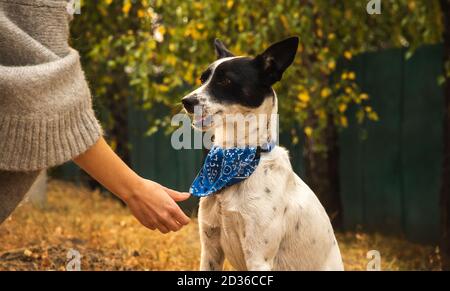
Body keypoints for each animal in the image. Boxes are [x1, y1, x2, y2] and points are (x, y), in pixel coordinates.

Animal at [181, 36, 342, 272]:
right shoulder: (210, 249)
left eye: (225, 81)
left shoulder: (258, 257)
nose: (186, 102)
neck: (238, 157)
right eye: (203, 79)